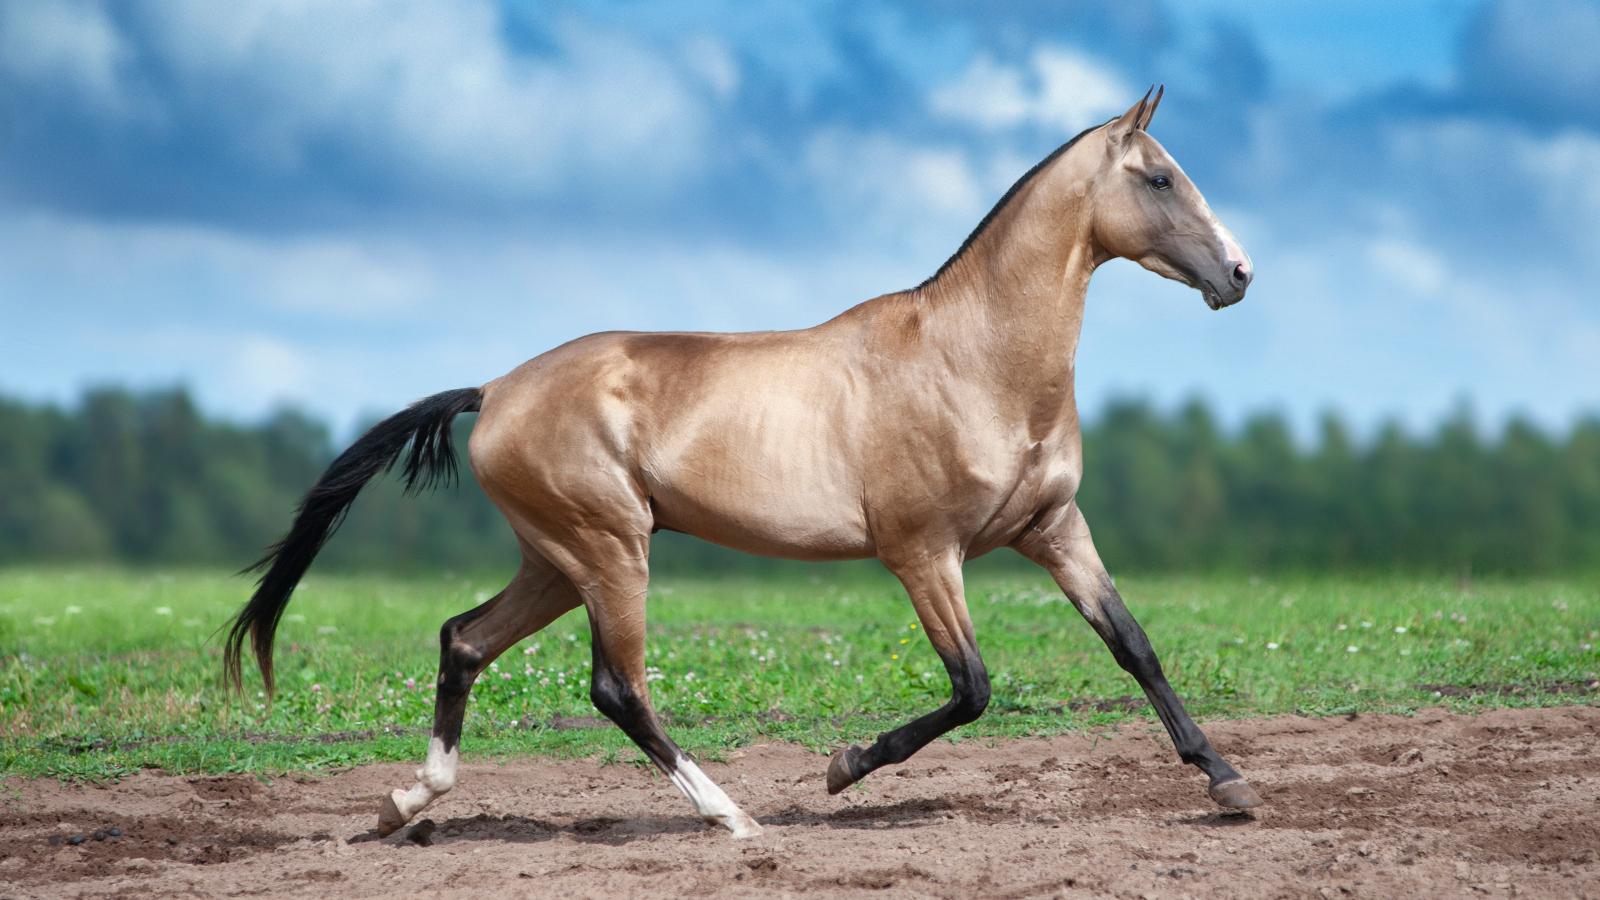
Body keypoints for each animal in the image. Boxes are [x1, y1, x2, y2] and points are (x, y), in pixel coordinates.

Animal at [225, 88, 1260, 841]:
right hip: (610, 552)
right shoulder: (923, 553)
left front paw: (1227, 782)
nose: (1240, 274)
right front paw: (841, 768)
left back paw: (407, 802)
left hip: (558, 560)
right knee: (615, 689)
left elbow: (1134, 646)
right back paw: (733, 816)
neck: (972, 362)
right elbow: (972, 687)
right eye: (1160, 179)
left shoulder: (1052, 529)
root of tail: (497, 388)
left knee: (464, 640)